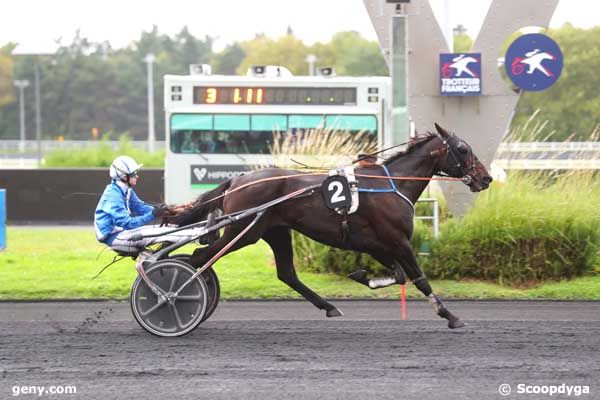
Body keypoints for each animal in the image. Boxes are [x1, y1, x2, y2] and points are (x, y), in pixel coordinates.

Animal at [168, 124, 492, 328]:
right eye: (463, 149)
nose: (486, 178)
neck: (392, 185)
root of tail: (237, 180)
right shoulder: (397, 241)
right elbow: (419, 279)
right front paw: (449, 315)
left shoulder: (376, 244)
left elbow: (398, 275)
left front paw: (362, 276)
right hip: (242, 232)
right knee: (199, 259)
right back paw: (177, 295)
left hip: (275, 232)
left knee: (286, 274)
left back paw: (329, 306)